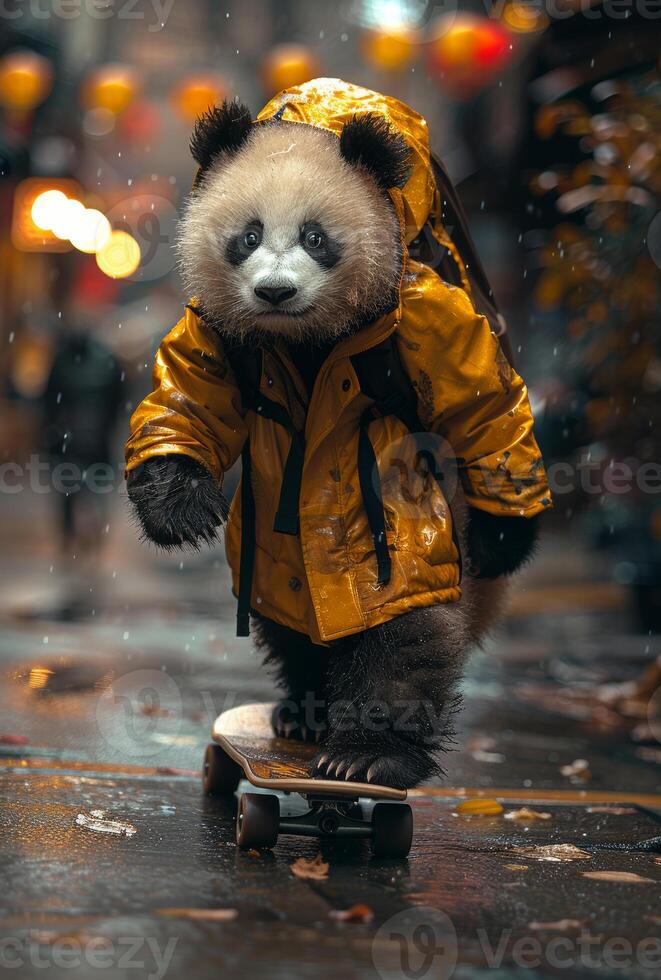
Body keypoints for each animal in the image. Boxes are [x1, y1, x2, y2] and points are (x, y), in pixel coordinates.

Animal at [126, 82, 548, 788]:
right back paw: (304, 714)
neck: (308, 344)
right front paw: (183, 512)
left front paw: (504, 538)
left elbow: (482, 407)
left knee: (405, 632)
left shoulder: (425, 317)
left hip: (407, 527)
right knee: (290, 627)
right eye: (248, 235)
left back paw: (368, 754)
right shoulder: (215, 325)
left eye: (316, 237)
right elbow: (187, 402)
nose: (274, 291)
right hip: (274, 553)